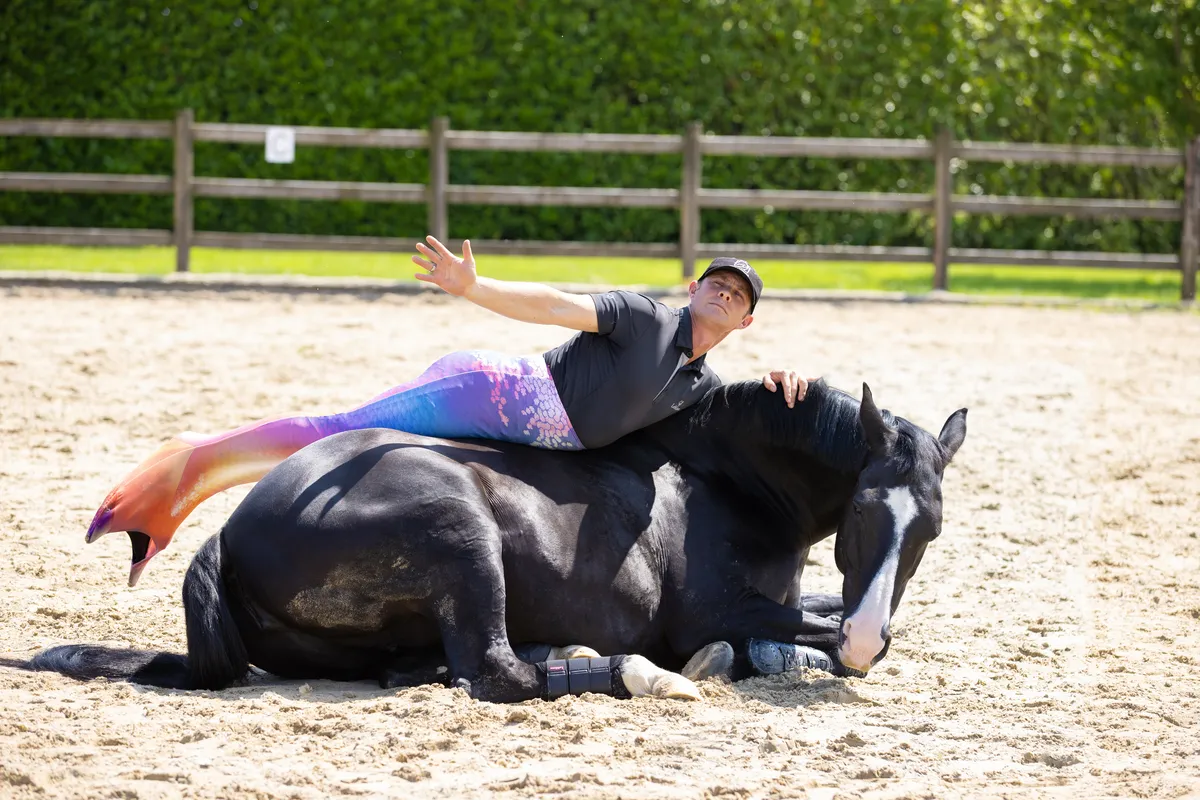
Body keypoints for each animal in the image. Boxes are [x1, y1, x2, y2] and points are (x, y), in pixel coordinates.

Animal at [28, 380, 966, 703]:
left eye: (931, 526)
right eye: (863, 514)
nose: (868, 633)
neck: (729, 480)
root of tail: (230, 534)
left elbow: (813, 625)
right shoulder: (710, 612)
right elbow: (787, 635)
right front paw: (803, 654)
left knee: (441, 666)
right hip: (461, 533)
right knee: (496, 672)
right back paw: (622, 671)